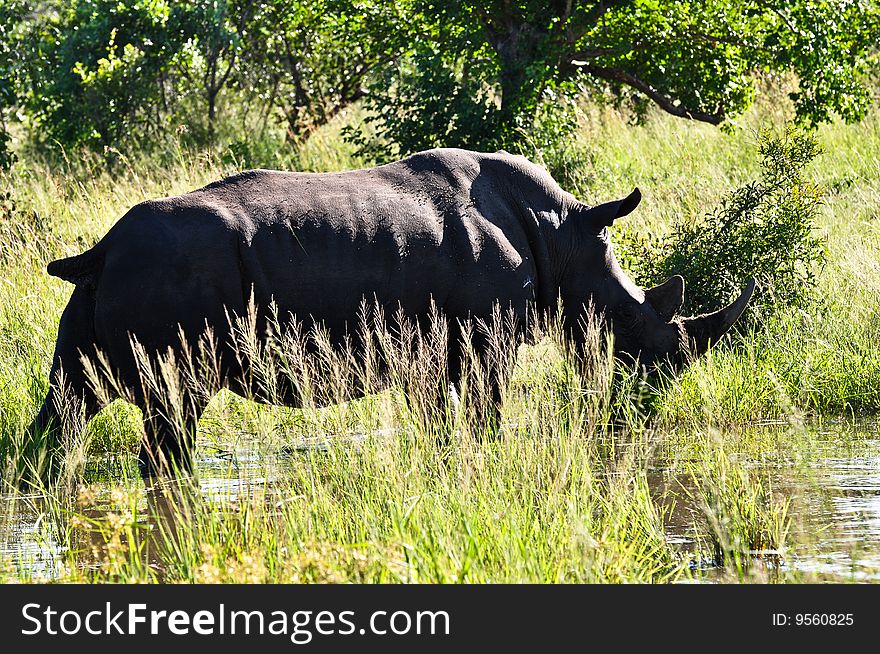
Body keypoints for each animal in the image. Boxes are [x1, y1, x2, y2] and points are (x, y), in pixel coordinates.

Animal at [29, 147, 756, 476]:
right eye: (633, 326)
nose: (641, 408)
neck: (565, 237)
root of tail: (101, 250)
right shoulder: (487, 341)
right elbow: (487, 417)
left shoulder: (432, 349)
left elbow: (441, 423)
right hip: (168, 284)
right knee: (173, 411)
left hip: (107, 288)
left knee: (71, 401)